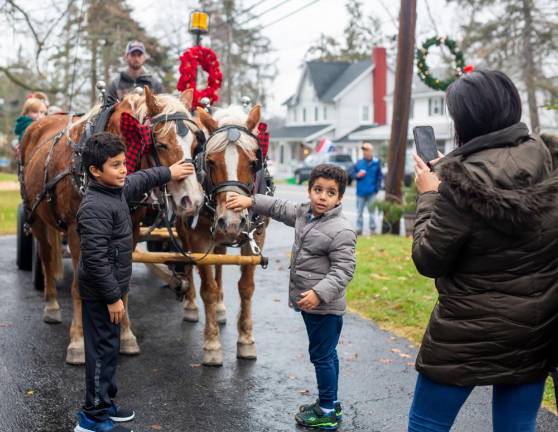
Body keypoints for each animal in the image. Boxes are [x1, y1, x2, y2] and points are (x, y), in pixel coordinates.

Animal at [20, 88, 208, 364]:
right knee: (45, 256)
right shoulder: (77, 233)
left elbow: (124, 284)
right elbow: (78, 286)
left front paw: (126, 336)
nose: (192, 200)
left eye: (196, 144)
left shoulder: (131, 230)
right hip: (36, 219)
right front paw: (77, 342)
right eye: (161, 143)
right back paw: (52, 306)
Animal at [176, 104, 270, 364]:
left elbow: (246, 287)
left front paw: (246, 340)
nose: (231, 221)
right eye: (210, 162)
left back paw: (219, 308)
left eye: (253, 162)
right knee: (188, 265)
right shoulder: (198, 240)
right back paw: (191, 306)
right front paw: (212, 344)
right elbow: (207, 289)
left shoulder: (255, 238)